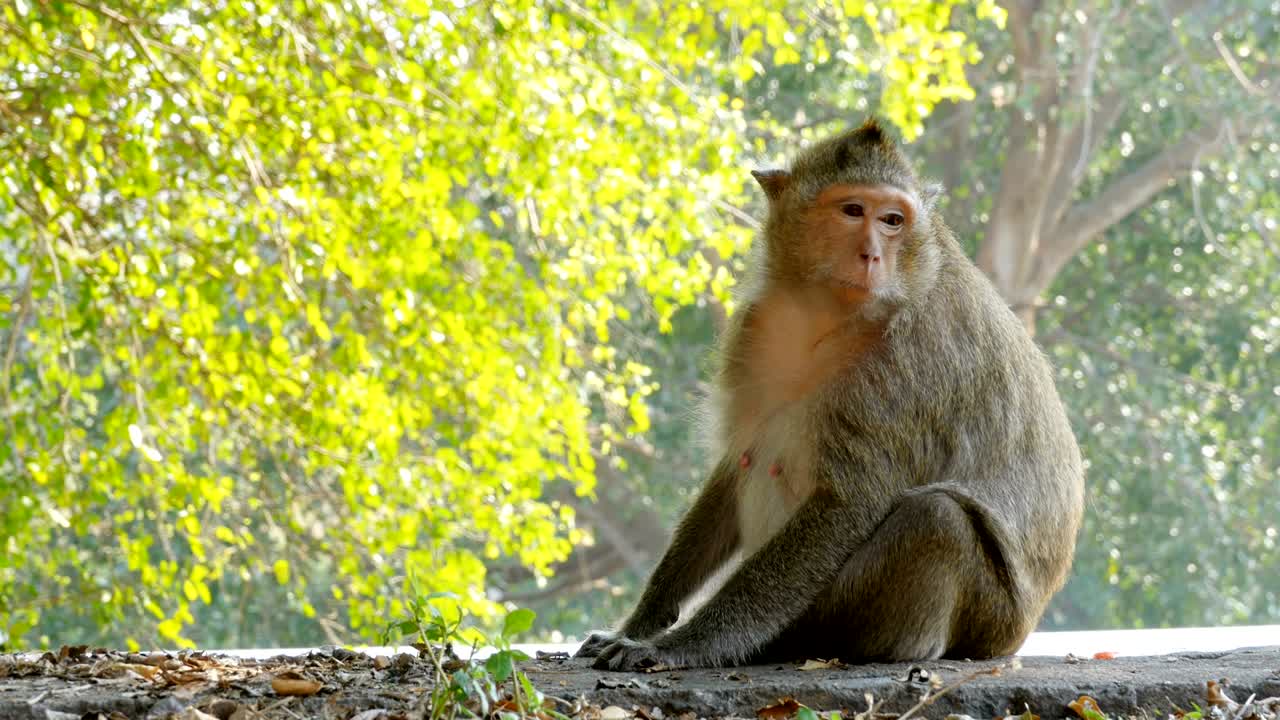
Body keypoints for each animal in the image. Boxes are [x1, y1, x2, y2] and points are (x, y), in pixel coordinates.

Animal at [574, 118, 1085, 671]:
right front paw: (639, 624)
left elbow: (848, 502)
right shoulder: (756, 328)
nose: (872, 254)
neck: (827, 314)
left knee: (938, 519)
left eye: (892, 220)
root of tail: (1013, 636)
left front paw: (680, 645)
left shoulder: (901, 366)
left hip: (980, 615)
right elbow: (737, 465)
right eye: (852, 210)